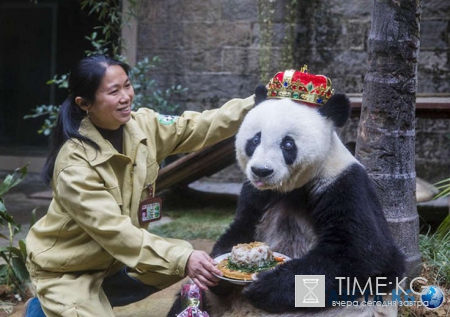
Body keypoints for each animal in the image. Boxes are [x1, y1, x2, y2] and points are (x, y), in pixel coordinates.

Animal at [201, 79, 408, 316]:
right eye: (255, 139)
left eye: (288, 144)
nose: (261, 171)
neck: (290, 188)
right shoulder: (256, 194)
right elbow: (241, 227)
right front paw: (216, 274)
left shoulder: (345, 185)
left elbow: (363, 254)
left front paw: (266, 285)